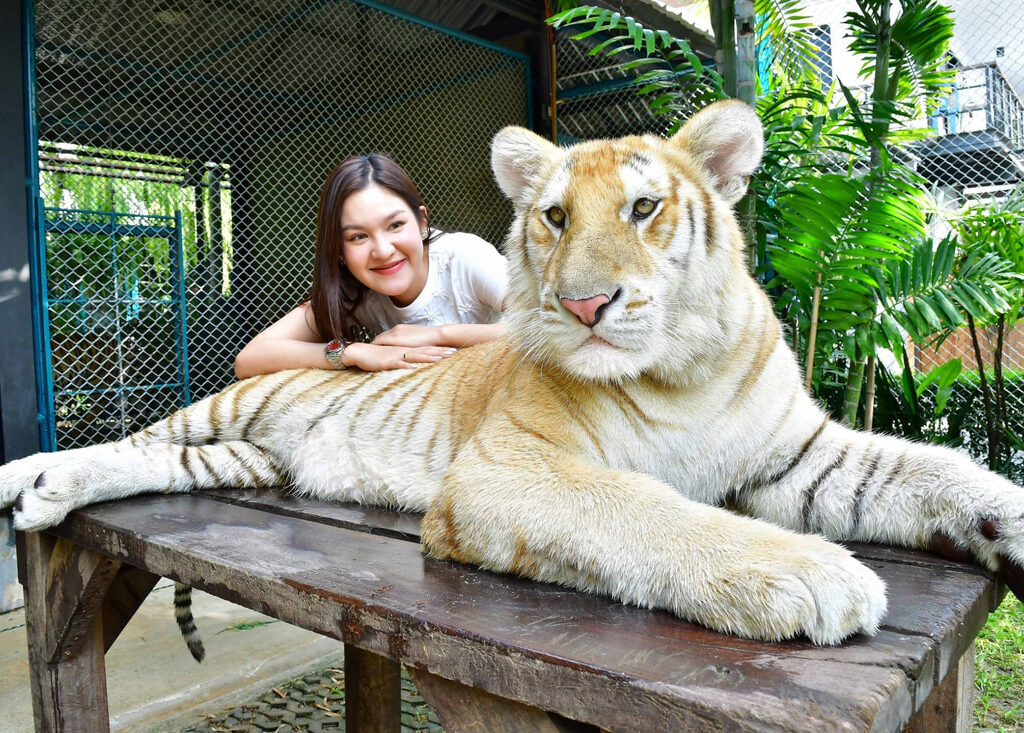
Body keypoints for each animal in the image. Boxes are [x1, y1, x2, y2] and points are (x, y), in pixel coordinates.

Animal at [3, 99, 1023, 649]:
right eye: (557, 217)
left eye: (644, 208)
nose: (585, 303)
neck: (682, 370)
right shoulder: (508, 470)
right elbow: (647, 509)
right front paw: (806, 572)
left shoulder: (797, 454)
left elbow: (927, 468)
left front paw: (1003, 514)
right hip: (226, 403)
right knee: (129, 438)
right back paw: (27, 478)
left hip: (240, 459)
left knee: (149, 463)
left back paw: (48, 492)